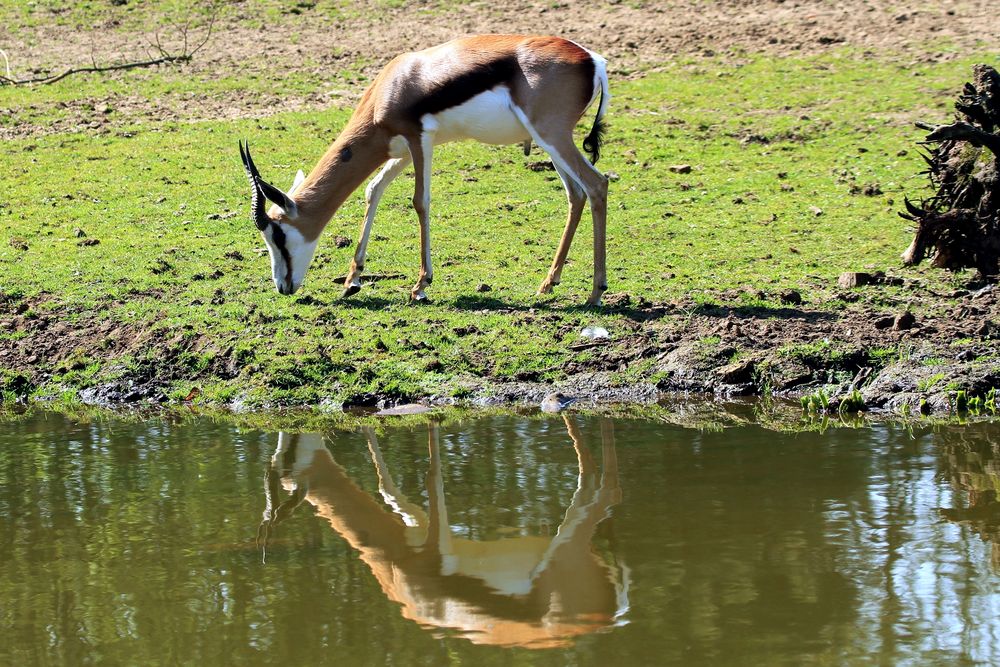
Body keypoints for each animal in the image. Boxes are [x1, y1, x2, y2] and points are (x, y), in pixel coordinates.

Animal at [242, 36, 608, 306]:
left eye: (277, 235)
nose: (282, 286)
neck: (392, 87)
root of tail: (593, 60)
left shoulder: (420, 139)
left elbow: (420, 201)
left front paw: (420, 285)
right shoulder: (400, 150)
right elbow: (374, 190)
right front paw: (352, 281)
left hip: (551, 135)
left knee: (597, 185)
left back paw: (595, 293)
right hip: (549, 142)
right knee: (576, 194)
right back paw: (549, 282)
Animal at [262, 422, 628, 648]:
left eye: (288, 455)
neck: (395, 565)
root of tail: (611, 615)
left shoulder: (435, 541)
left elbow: (431, 473)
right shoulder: (415, 521)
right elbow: (386, 487)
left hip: (565, 546)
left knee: (605, 487)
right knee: (596, 481)